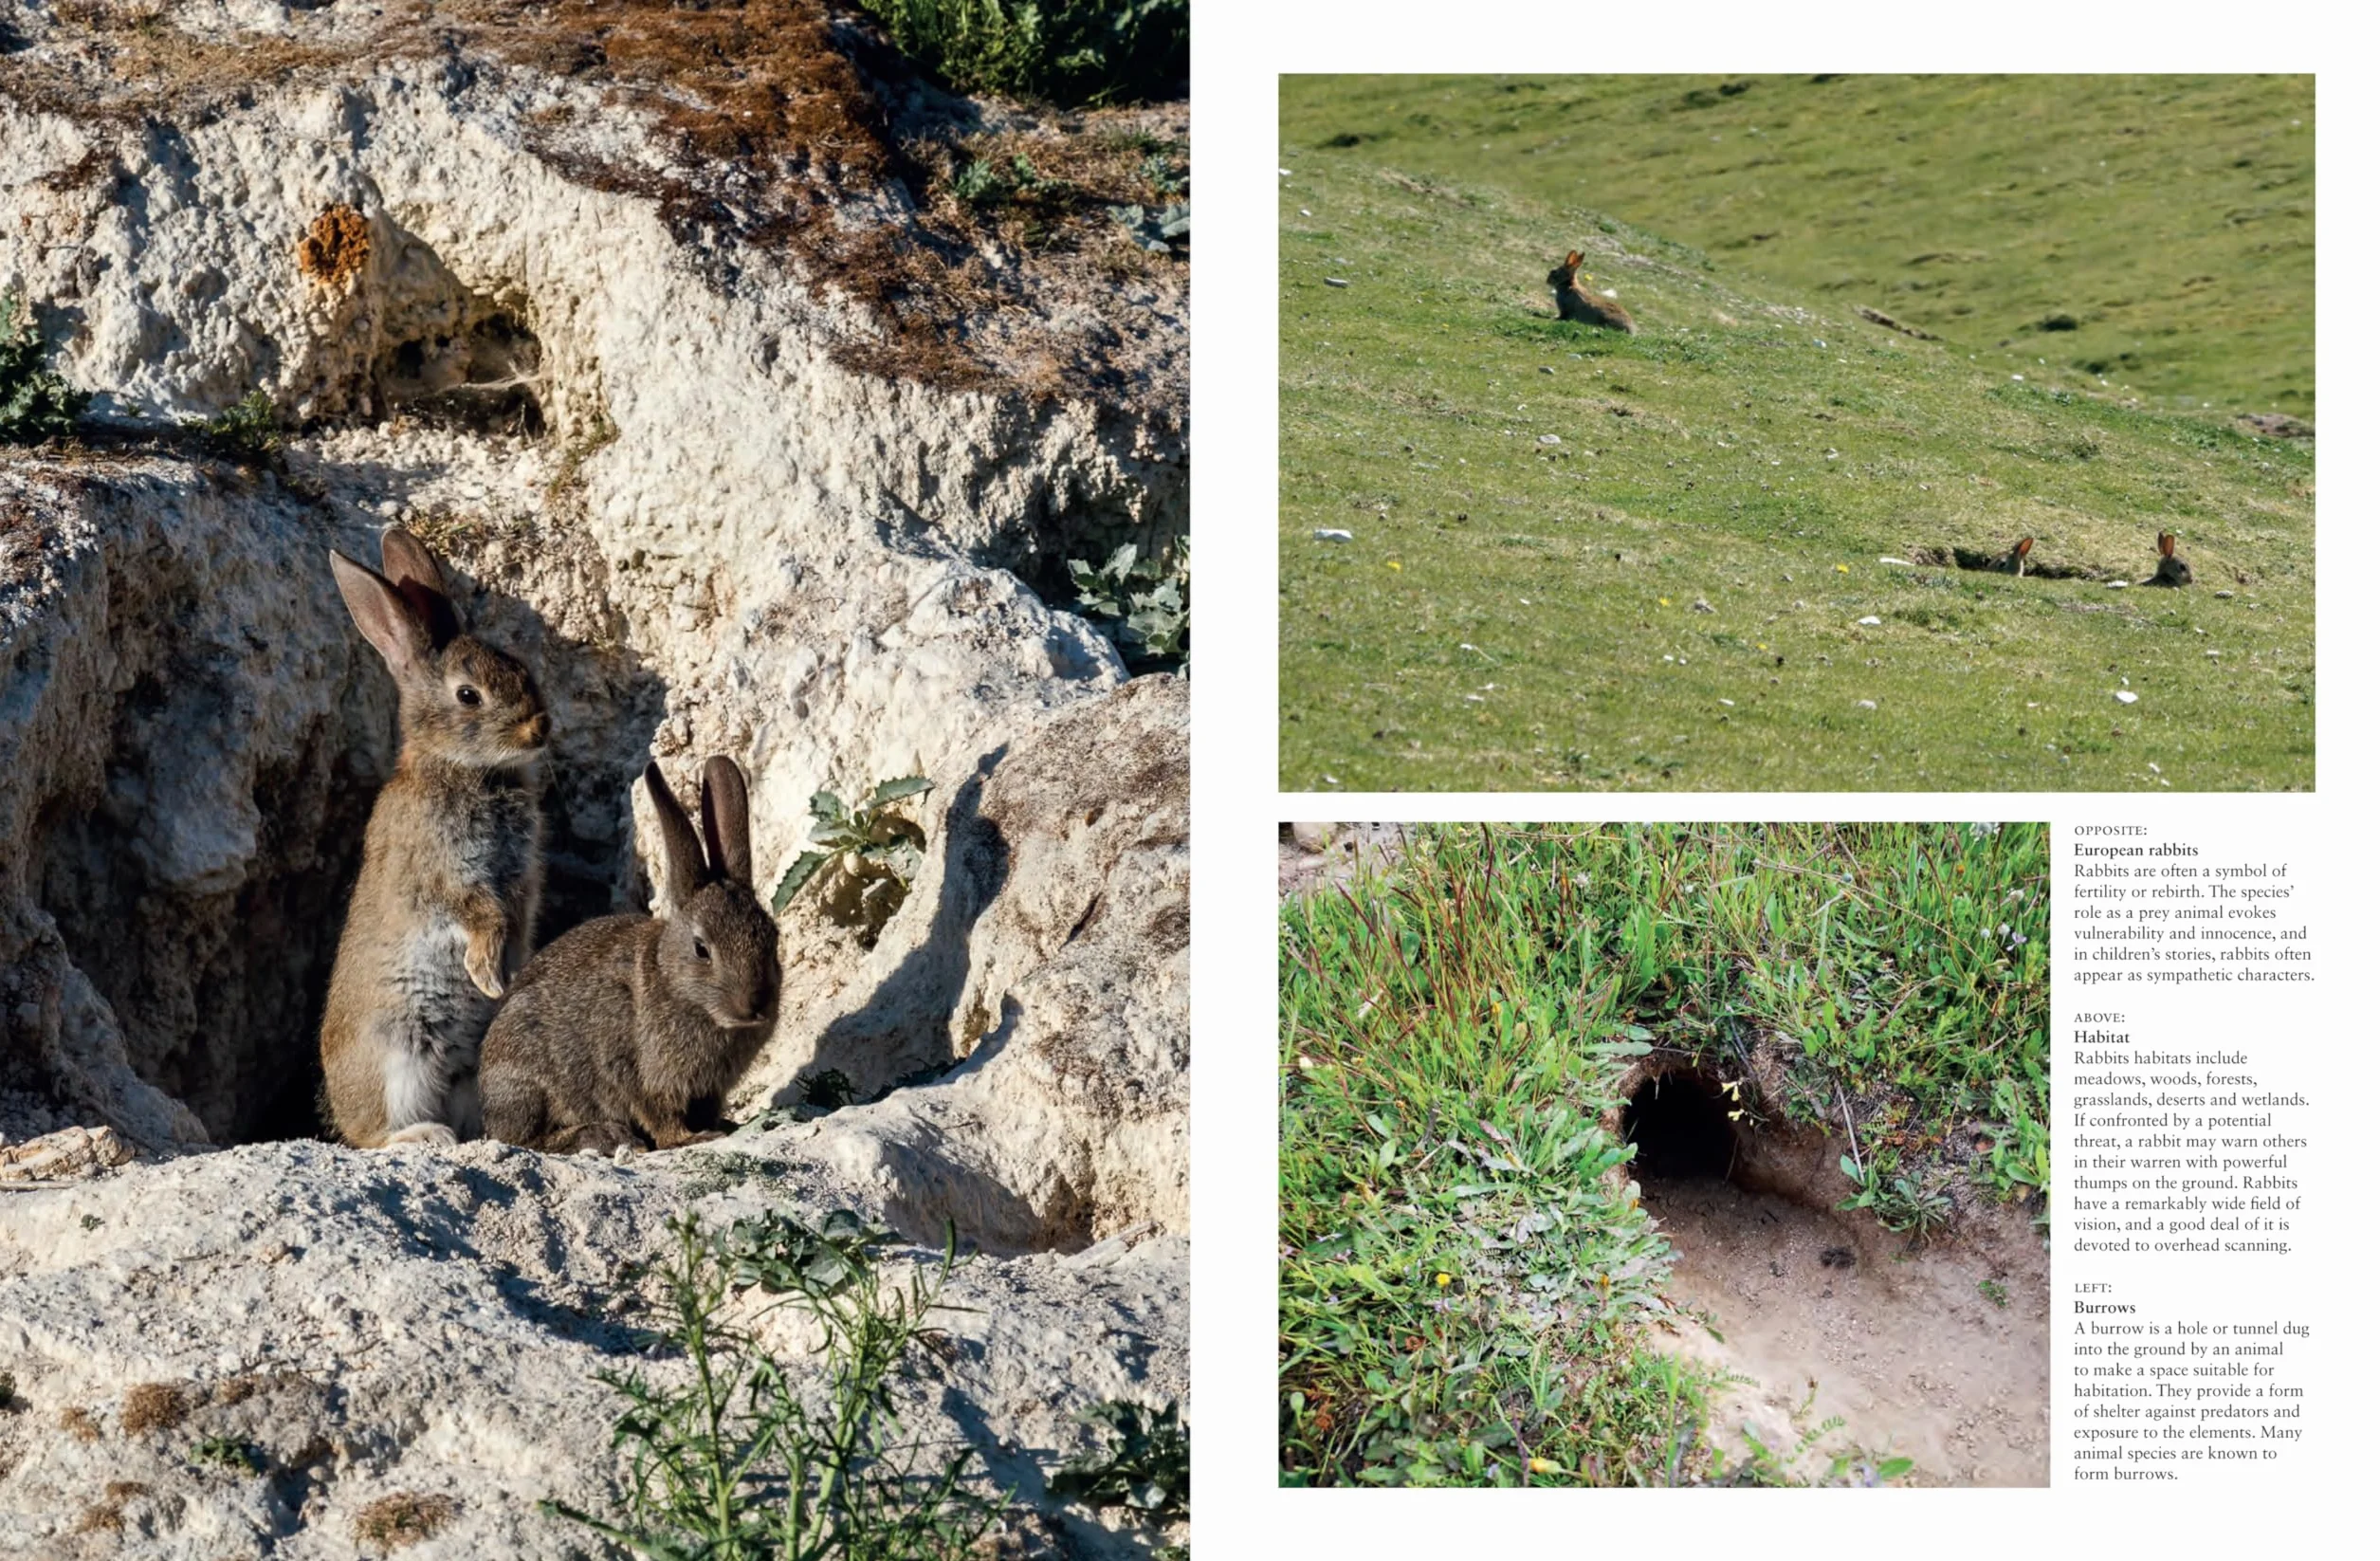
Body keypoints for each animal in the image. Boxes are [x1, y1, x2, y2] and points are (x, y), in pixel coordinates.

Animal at [320, 527, 550, 1148]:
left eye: (519, 665)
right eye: (469, 696)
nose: (540, 728)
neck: (466, 768)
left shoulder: (522, 879)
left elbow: (517, 916)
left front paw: (506, 976)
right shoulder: (442, 870)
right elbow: (477, 911)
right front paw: (486, 972)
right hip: (398, 1058)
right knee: (373, 1137)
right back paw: (423, 1136)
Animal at [480, 757, 781, 1155]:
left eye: (773, 938)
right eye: (702, 949)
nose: (755, 1005)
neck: (675, 983)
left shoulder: (709, 1089)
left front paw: (718, 1127)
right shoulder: (636, 1069)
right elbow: (658, 1111)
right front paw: (690, 1138)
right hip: (526, 1078)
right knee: (525, 1138)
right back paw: (602, 1135)